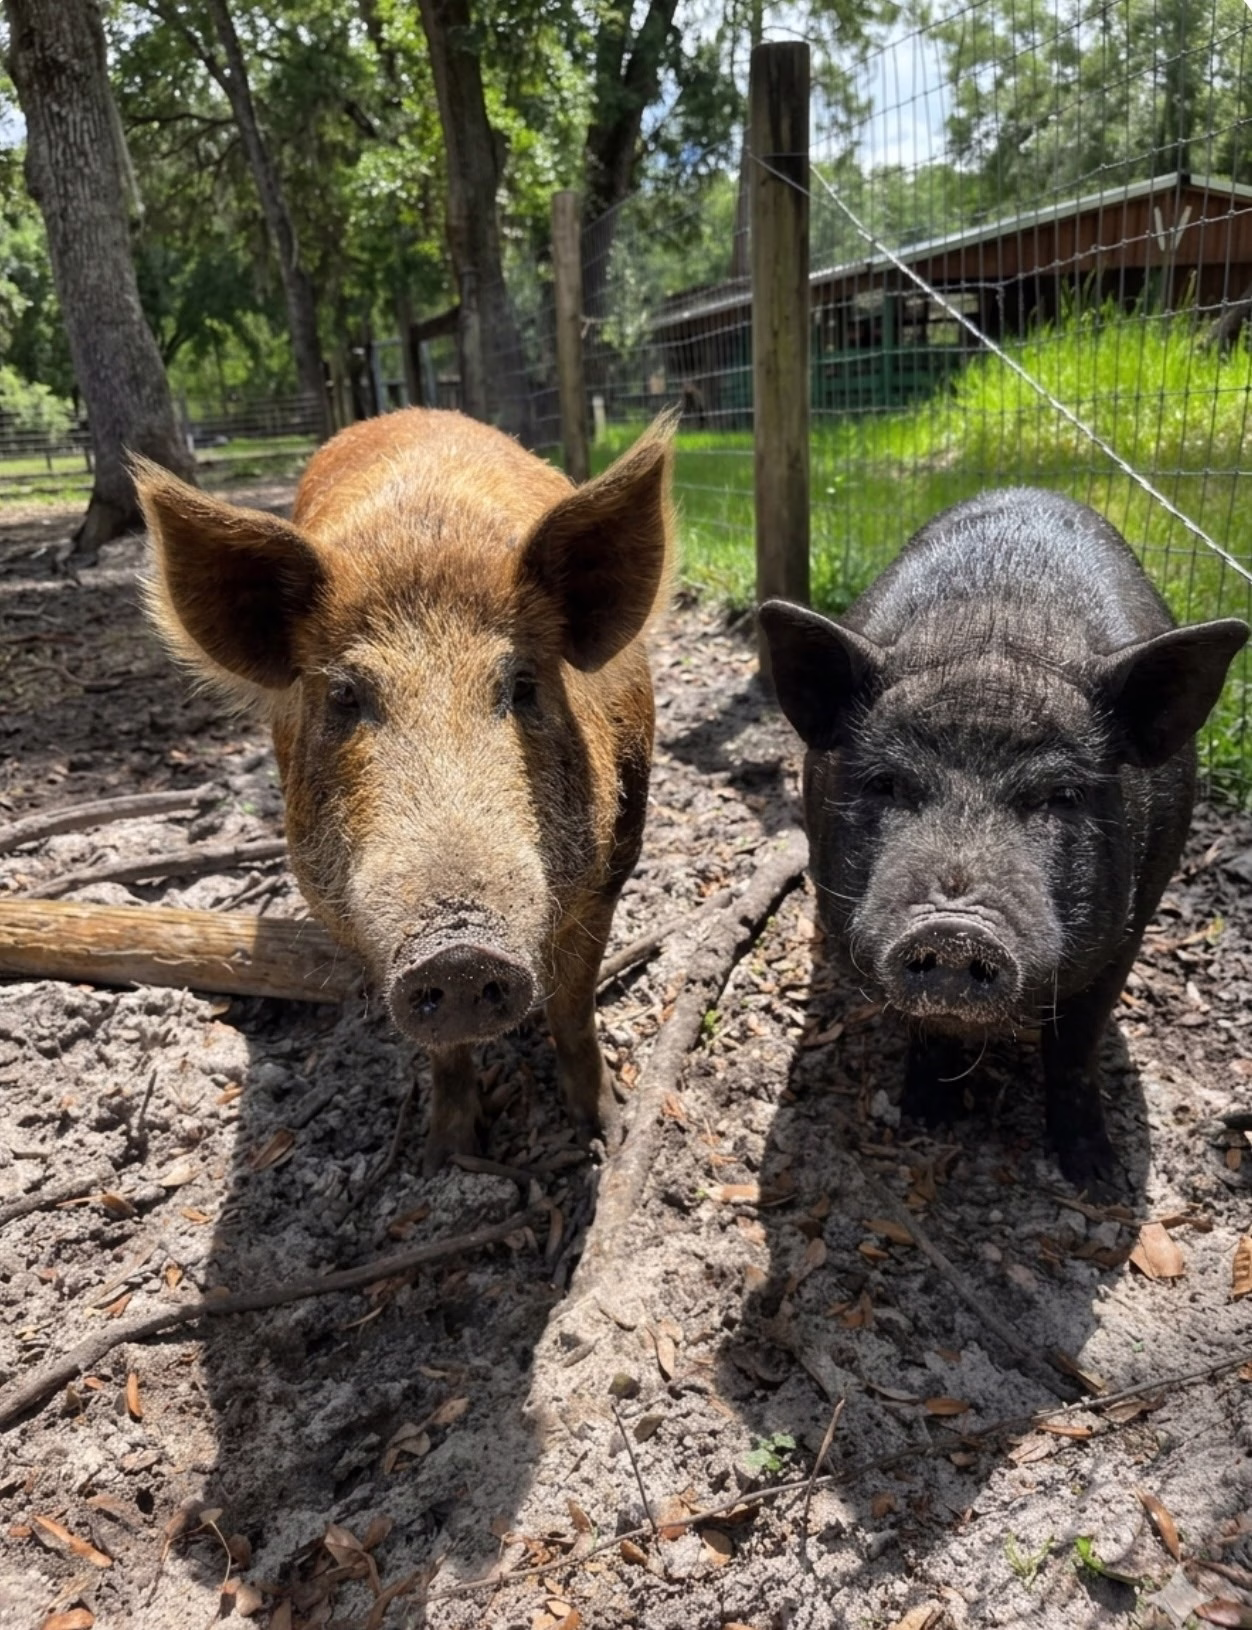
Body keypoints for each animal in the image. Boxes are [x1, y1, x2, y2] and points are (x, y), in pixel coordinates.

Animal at [136, 407, 673, 1170]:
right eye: (344, 695)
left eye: (523, 685)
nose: (458, 953)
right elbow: (439, 1050)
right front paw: (444, 1157)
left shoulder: (613, 869)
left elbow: (572, 1009)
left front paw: (607, 1136)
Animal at [758, 488, 1247, 1190]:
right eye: (886, 782)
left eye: (1062, 794)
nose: (954, 929)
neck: (998, 639)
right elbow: (925, 1031)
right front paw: (925, 1121)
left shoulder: (1131, 926)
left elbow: (1075, 1044)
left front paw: (1098, 1177)